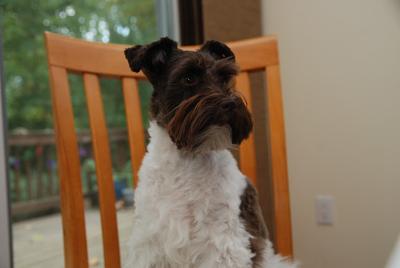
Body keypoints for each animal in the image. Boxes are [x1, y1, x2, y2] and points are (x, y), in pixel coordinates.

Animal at [123, 37, 298, 268]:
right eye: (188, 77)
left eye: (225, 77)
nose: (230, 104)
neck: (188, 160)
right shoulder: (149, 242)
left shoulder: (223, 245)